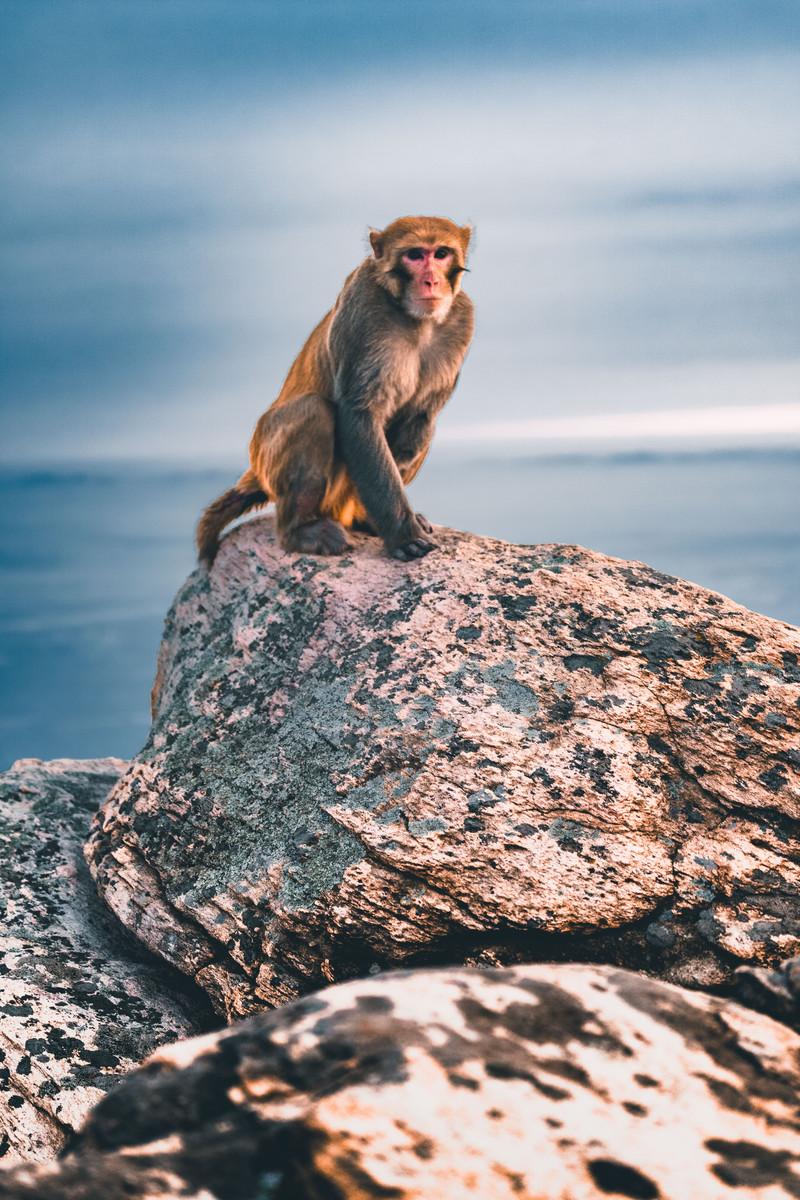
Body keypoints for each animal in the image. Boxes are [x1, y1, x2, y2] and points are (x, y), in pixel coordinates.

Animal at [196, 217, 472, 566]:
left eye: (441, 254)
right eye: (414, 255)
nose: (431, 281)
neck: (415, 320)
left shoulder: (461, 322)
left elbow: (419, 416)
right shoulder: (362, 310)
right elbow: (357, 413)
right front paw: (403, 535)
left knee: (422, 429)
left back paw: (362, 518)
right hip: (273, 462)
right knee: (313, 411)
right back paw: (300, 530)